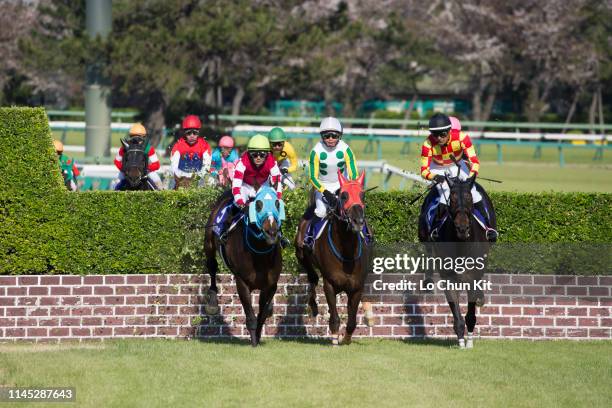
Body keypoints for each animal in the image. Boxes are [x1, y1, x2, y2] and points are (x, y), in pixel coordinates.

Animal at [203, 185, 284, 348]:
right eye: (258, 205)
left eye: (277, 203)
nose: (271, 233)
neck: (259, 255)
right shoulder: (242, 282)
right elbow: (251, 316)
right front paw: (254, 343)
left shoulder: (271, 285)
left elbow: (262, 315)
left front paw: (258, 337)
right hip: (209, 242)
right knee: (212, 267)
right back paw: (213, 302)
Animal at [296, 171, 372, 346]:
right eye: (343, 196)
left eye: (362, 195)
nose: (358, 222)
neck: (347, 252)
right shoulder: (330, 284)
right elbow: (334, 316)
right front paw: (335, 336)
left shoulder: (357, 287)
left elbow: (352, 321)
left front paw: (346, 338)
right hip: (301, 254)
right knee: (312, 277)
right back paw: (313, 305)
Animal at [418, 174, 494, 350]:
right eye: (451, 199)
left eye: (469, 198)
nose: (462, 228)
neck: (462, 245)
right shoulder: (449, 278)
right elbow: (456, 311)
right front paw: (461, 341)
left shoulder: (473, 277)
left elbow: (471, 312)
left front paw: (469, 341)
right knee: (428, 251)